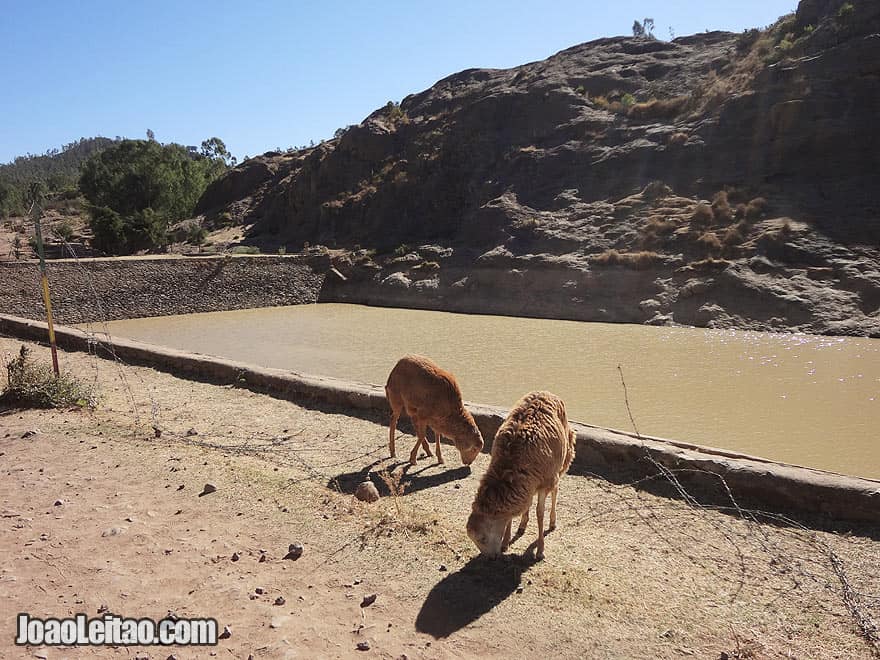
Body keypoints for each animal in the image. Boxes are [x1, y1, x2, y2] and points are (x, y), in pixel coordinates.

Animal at [468, 390, 576, 560]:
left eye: (483, 538)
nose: (490, 558)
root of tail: (547, 392)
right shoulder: (526, 484)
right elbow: (513, 514)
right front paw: (505, 542)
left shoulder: (544, 482)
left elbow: (540, 513)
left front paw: (540, 550)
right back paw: (523, 524)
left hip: (563, 461)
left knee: (555, 491)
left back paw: (552, 521)